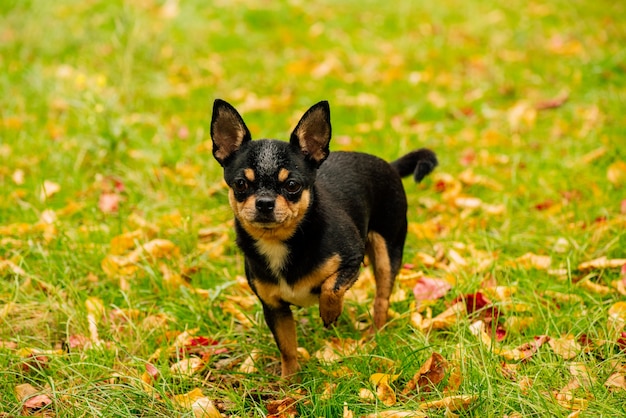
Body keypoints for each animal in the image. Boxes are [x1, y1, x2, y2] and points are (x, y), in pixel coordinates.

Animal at [210, 99, 434, 378]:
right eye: (240, 184)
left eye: (292, 185)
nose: (264, 202)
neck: (281, 242)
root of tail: (390, 166)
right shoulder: (274, 307)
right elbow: (287, 347)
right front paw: (289, 383)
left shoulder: (352, 259)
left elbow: (331, 287)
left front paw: (330, 313)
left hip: (387, 251)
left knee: (382, 298)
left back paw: (375, 335)